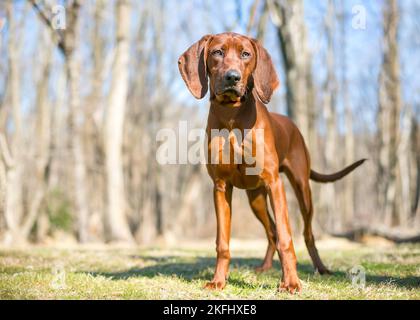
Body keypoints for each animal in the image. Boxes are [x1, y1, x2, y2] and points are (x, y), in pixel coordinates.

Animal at [177, 31, 364, 292]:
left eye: (246, 54)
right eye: (217, 52)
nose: (232, 77)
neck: (232, 116)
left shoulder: (275, 183)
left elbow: (286, 237)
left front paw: (291, 282)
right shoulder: (221, 186)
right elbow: (223, 242)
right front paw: (218, 280)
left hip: (302, 190)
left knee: (306, 234)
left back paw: (321, 269)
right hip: (255, 198)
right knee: (271, 231)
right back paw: (265, 267)